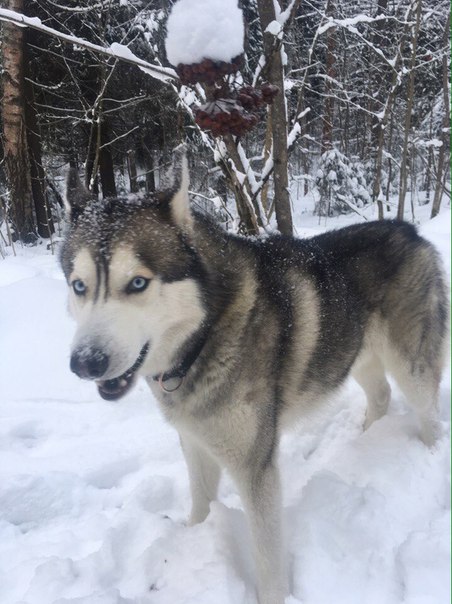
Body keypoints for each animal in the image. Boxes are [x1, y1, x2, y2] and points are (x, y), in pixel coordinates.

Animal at [61, 147, 448, 604]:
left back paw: (428, 456)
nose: (85, 363)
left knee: (427, 411)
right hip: (355, 356)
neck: (205, 337)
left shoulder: (255, 466)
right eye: (79, 286)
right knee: (382, 395)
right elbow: (200, 506)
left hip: (411, 365)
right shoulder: (196, 443)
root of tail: (409, 229)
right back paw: (367, 438)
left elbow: (267, 559)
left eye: (137, 283)